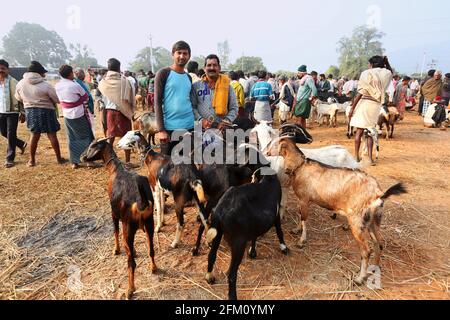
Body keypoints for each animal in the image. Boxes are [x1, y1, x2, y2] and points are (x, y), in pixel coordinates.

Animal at [81, 138, 156, 300]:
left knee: (131, 263)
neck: (115, 170)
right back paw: (153, 267)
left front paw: (116, 250)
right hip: (149, 224)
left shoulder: (114, 213)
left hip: (130, 226)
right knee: (151, 249)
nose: (82, 157)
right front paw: (133, 250)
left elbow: (115, 231)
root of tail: (140, 202)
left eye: (92, 145)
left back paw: (130, 289)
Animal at [268, 139, 408, 284]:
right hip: (373, 221)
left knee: (366, 251)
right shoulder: (304, 201)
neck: (301, 166)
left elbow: (304, 219)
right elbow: (301, 216)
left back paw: (360, 278)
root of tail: (378, 194)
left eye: (274, 143)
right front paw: (296, 230)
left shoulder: (304, 199)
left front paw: (301, 241)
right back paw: (374, 269)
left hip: (357, 222)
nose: (266, 152)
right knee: (378, 244)